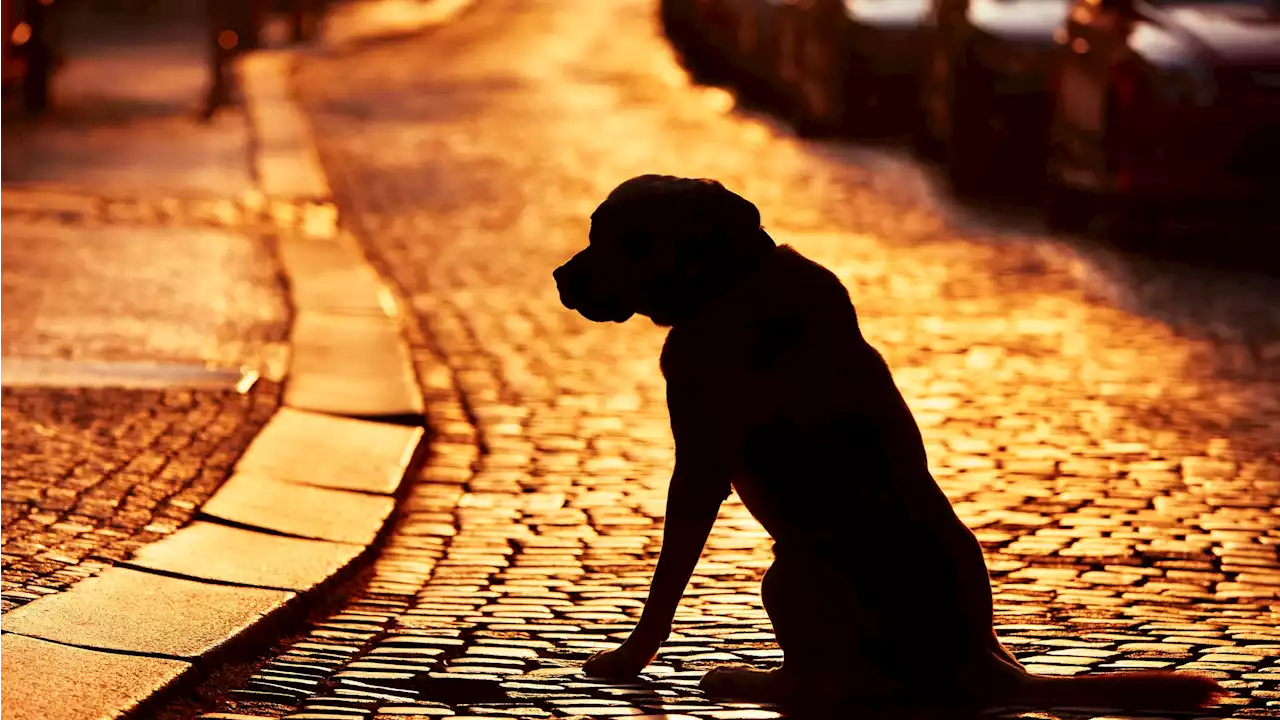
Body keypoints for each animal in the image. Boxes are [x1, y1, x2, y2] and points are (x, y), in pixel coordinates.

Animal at [552, 172, 1228, 707]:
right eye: (593, 228)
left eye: (632, 239)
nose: (560, 277)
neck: (729, 281)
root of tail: (988, 667)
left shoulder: (697, 468)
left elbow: (664, 584)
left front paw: (626, 661)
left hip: (789, 568)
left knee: (830, 685)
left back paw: (744, 680)